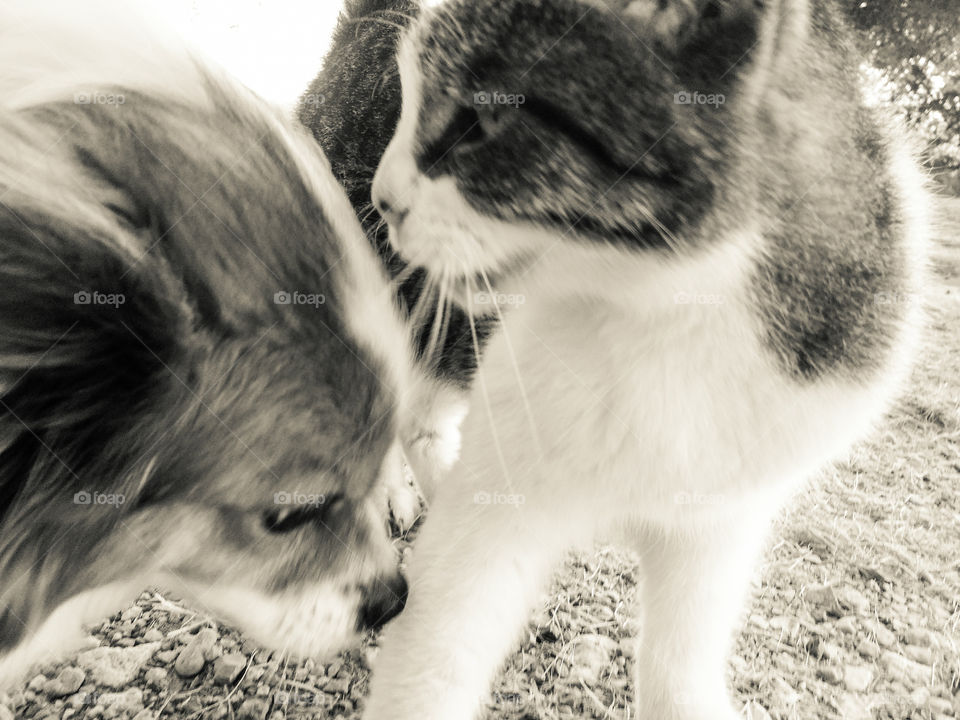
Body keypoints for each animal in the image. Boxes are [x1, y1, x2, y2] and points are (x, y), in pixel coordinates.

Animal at [304, 0, 928, 716]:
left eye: (482, 122)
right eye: (406, 95)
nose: (386, 197)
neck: (666, 311)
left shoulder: (722, 519)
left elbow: (682, 658)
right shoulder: (492, 519)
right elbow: (438, 654)